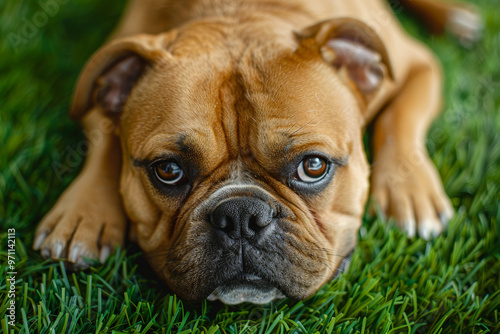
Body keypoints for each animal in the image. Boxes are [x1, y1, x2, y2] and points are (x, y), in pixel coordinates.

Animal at [33, 0, 478, 302]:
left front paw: (410, 193)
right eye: (168, 170)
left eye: (313, 166)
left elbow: (400, 120)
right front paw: (82, 215)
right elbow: (103, 140)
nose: (240, 215)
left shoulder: (419, 65)